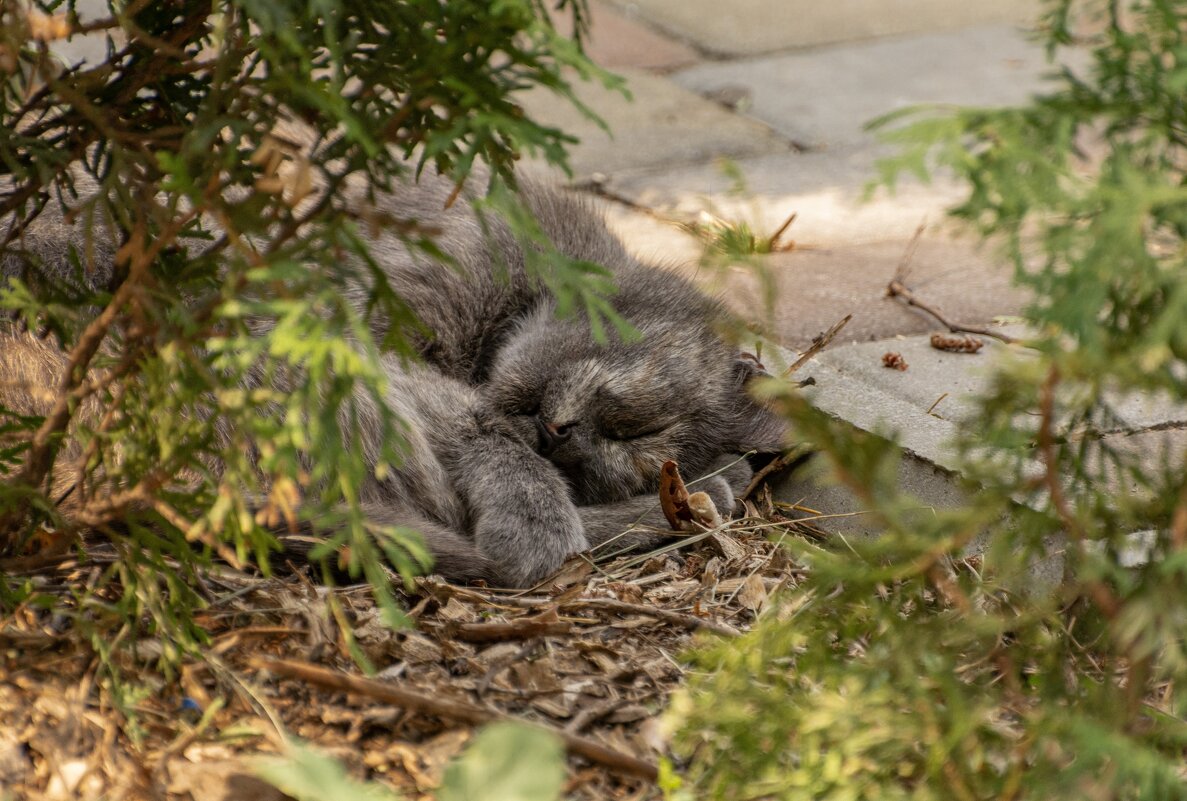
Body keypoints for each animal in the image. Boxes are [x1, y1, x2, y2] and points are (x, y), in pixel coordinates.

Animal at [2, 167, 788, 588]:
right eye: (632, 420)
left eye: (620, 448)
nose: (562, 436)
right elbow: (488, 430)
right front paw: (538, 509)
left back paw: (701, 495)